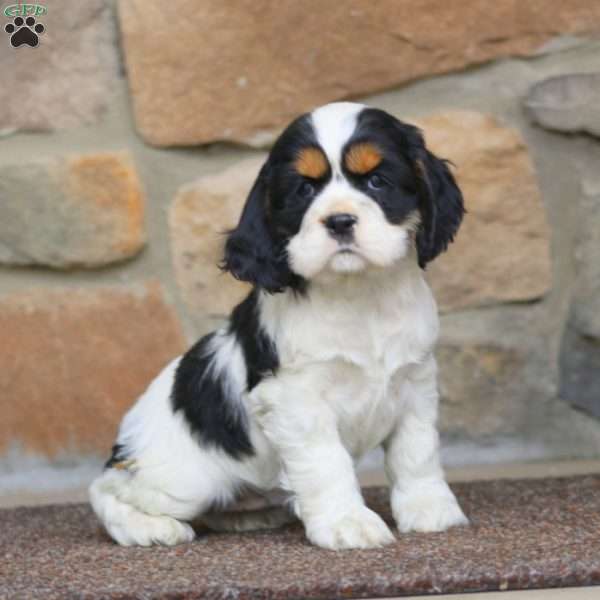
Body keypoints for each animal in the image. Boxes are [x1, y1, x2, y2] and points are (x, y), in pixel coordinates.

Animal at [91, 102, 468, 548]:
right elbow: (327, 462)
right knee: (107, 487)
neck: (359, 294)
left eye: (378, 181)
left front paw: (430, 510)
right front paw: (347, 523)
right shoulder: (296, 398)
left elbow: (417, 451)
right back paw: (150, 528)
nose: (340, 221)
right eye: (304, 190)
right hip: (185, 478)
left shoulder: (415, 383)